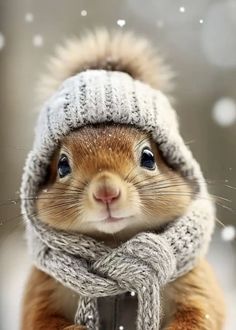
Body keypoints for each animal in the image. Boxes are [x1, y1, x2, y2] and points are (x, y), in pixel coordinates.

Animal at [21, 29, 225, 330]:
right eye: (62, 166)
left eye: (149, 157)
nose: (106, 192)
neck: (115, 242)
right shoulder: (42, 288)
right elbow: (39, 319)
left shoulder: (194, 282)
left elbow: (201, 314)